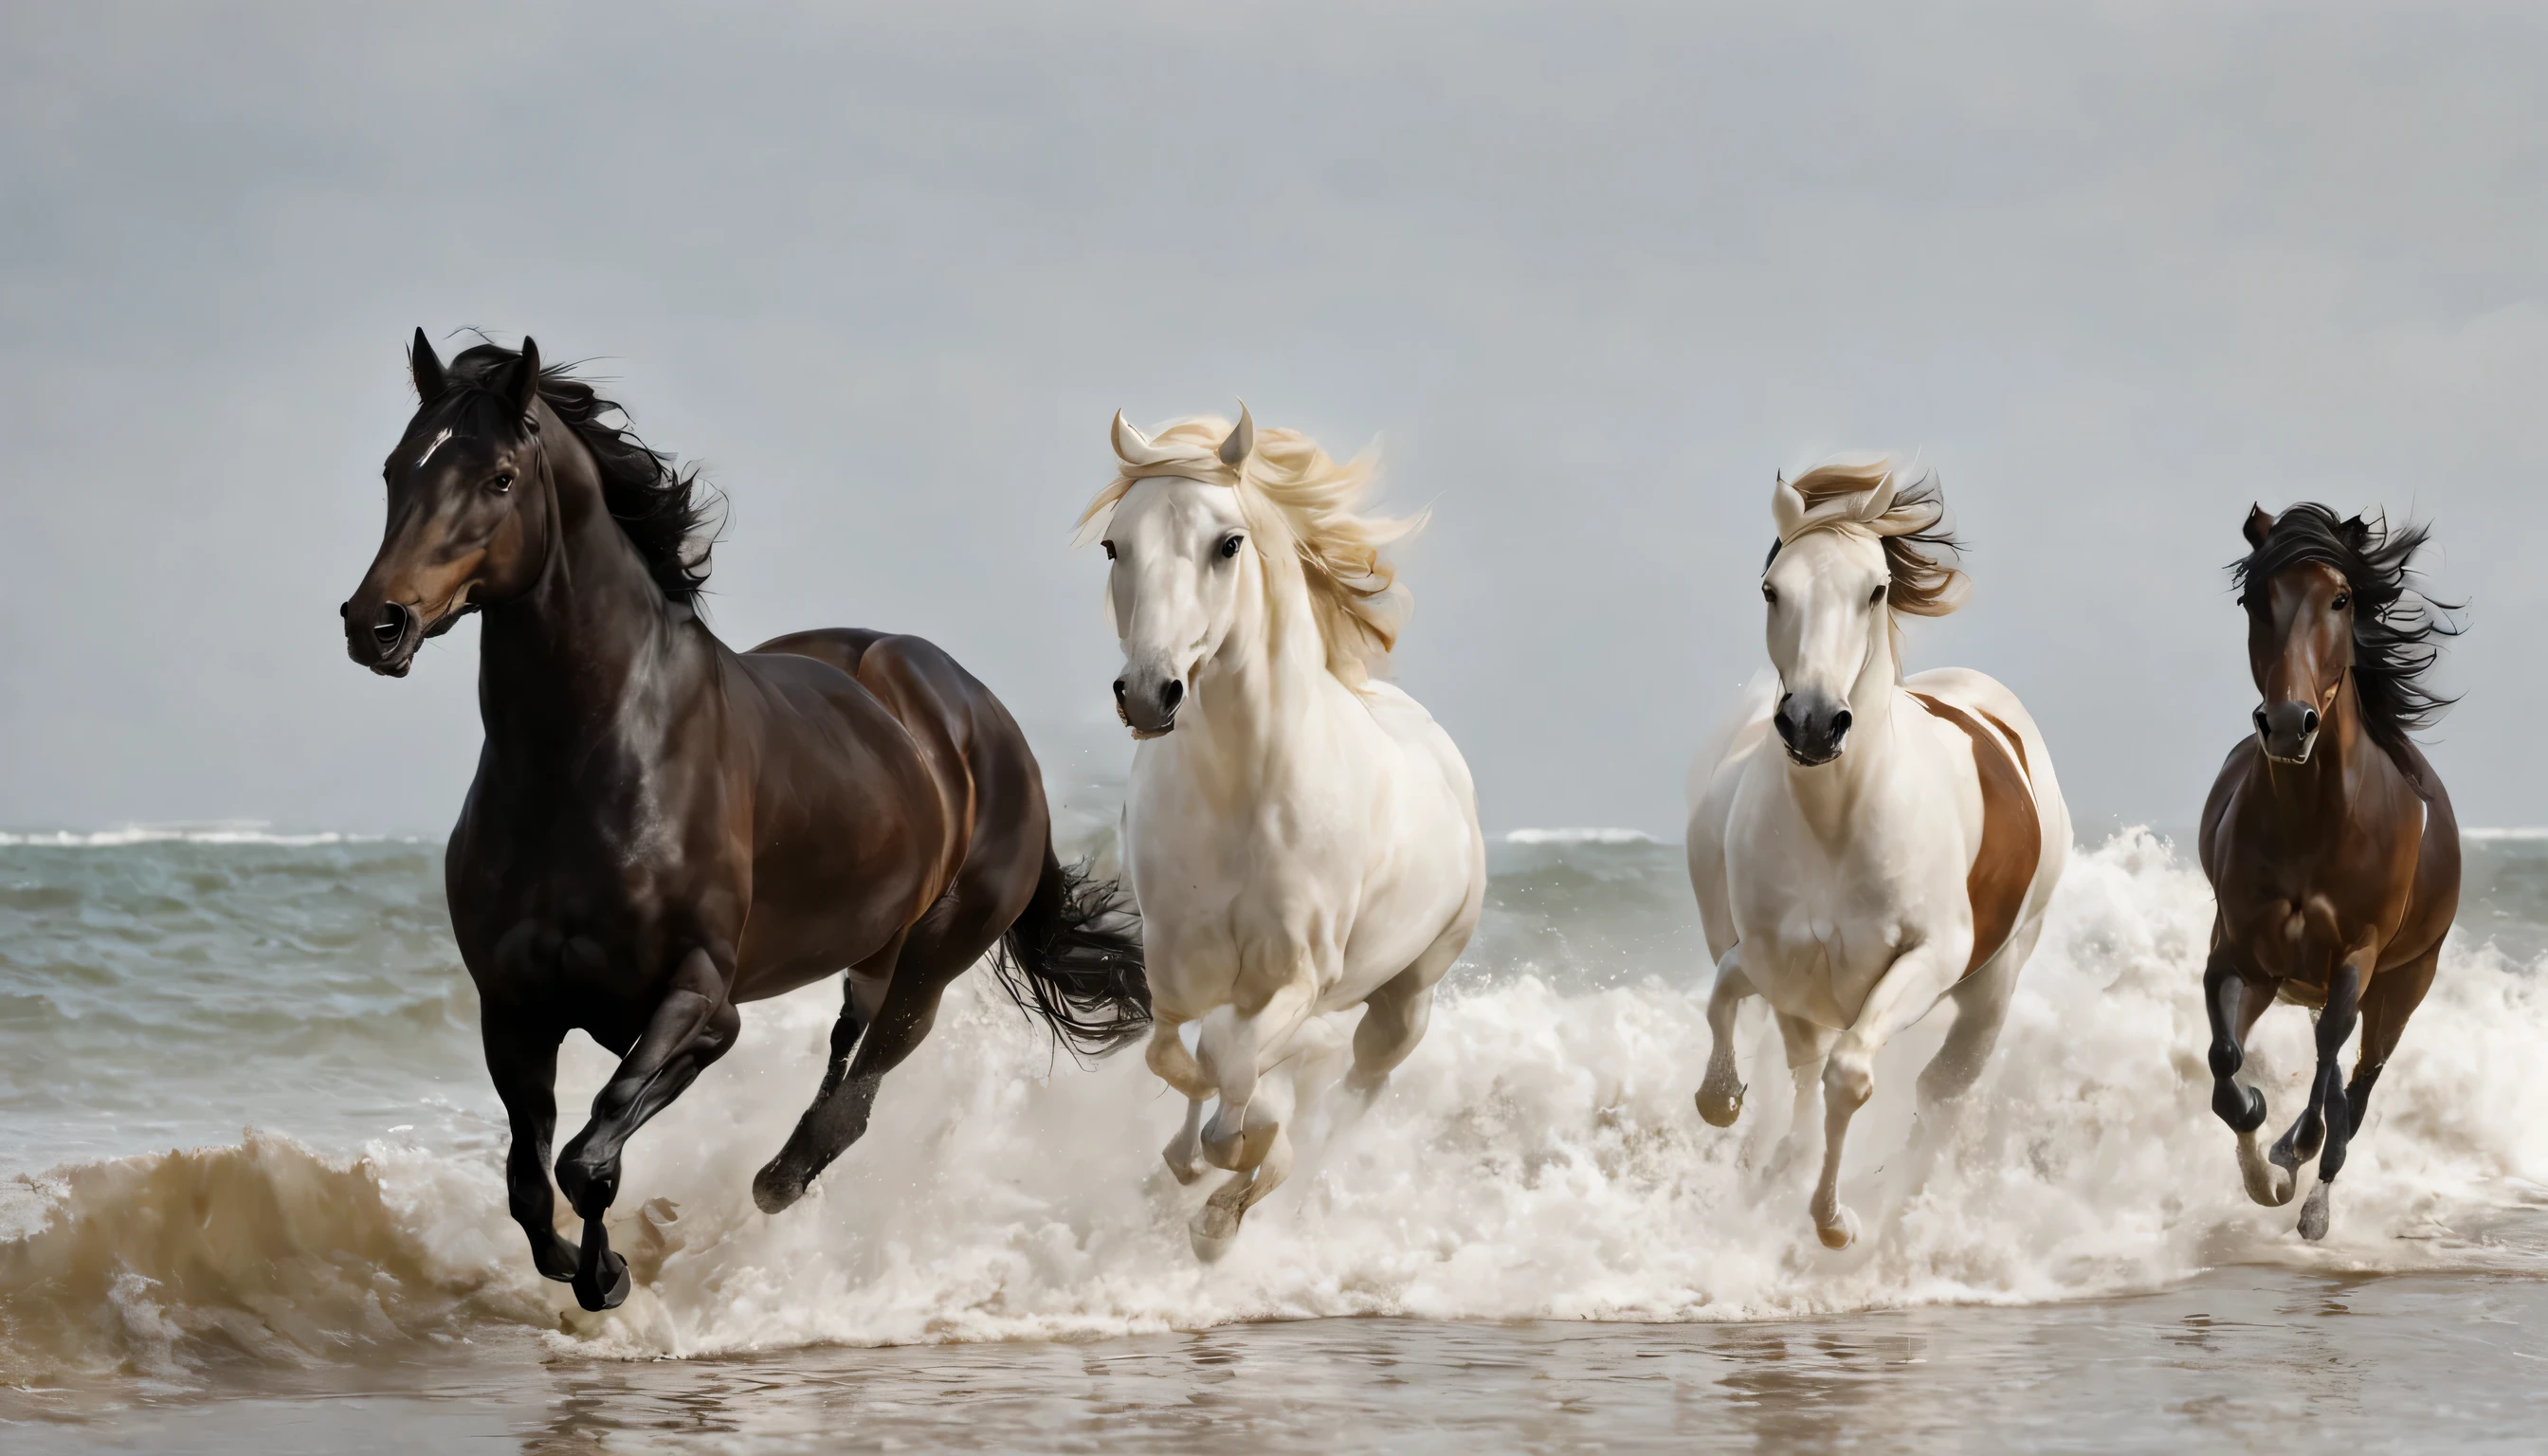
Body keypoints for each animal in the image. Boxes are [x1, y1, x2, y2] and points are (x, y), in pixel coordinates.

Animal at [336, 334, 1146, 1305]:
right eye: (394, 469)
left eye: (498, 477)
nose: (376, 623)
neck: (587, 761)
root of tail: (982, 714)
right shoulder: (515, 1007)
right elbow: (531, 1182)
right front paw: (586, 1267)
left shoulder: (698, 1003)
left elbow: (591, 1153)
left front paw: (608, 1273)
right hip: (873, 948)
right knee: (844, 1044)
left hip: (937, 957)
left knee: (860, 1094)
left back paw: (777, 1181)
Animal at [1080, 405, 1487, 1259]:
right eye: (1113, 544)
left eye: (1227, 544)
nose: (1149, 692)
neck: (1246, 796)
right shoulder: (1176, 969)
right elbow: (1182, 1057)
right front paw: (1199, 1169)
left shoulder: (1297, 976)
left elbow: (1233, 1066)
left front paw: (1229, 1195)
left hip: (1408, 999)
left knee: (1359, 1088)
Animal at [1691, 459, 2068, 1254]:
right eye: (1772, 589)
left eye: (1876, 589)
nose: (1812, 722)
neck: (1837, 823)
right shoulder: (1777, 961)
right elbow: (1735, 1004)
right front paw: (1724, 1101)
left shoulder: (1923, 962)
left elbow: (1851, 1076)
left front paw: (1836, 1221)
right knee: (1808, 1065)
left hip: (1992, 985)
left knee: (1942, 1092)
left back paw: (1899, 1211)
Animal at [2201, 501, 2456, 1244]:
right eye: (2253, 600)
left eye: (2341, 598)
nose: (2289, 725)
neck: (2314, 821)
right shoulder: (2237, 954)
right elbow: (2226, 1068)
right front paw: (2263, 1167)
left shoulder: (2358, 955)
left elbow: (2331, 1060)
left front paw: (2293, 1158)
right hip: (2290, 982)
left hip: (2402, 986)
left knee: (2358, 1076)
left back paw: (2315, 1191)